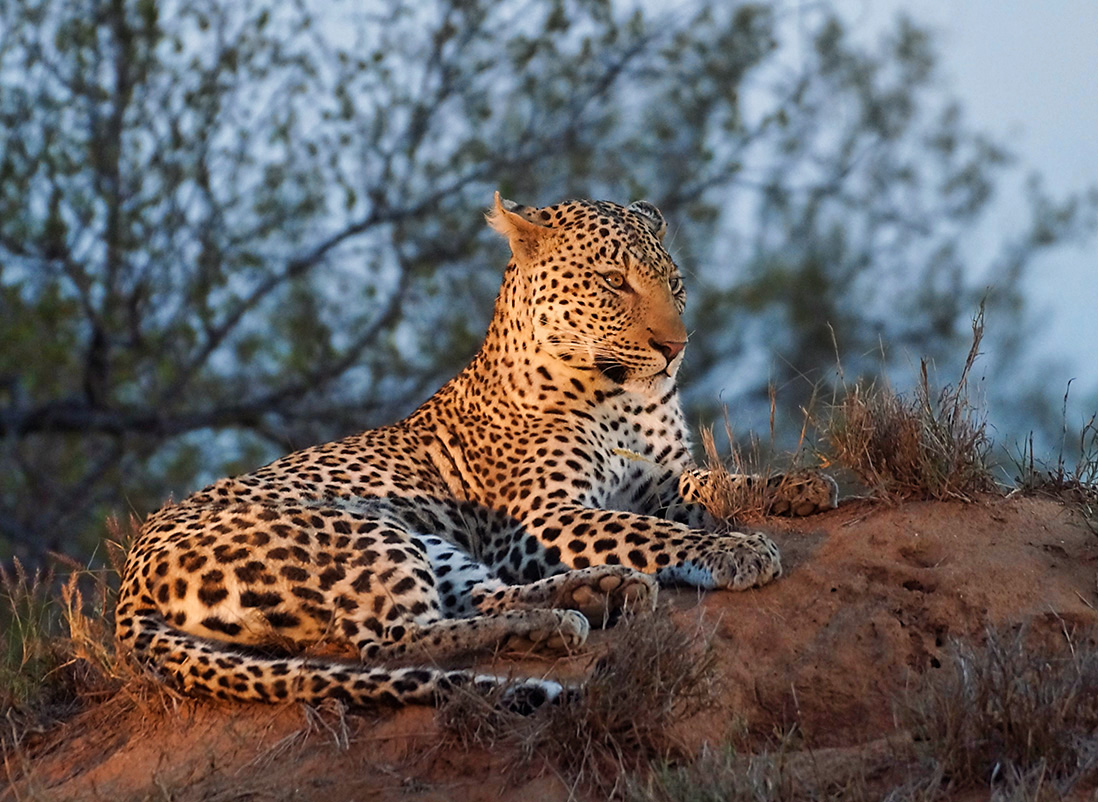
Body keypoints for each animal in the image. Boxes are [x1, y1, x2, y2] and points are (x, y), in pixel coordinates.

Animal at [115, 192, 834, 707]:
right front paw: (734, 550)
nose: (675, 347)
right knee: (390, 641)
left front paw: (797, 486)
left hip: (427, 538)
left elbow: (713, 481)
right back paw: (561, 620)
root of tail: (127, 582)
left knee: (476, 598)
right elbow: (648, 531)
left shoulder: (659, 480)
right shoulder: (541, 518)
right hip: (362, 531)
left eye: (676, 283)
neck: (620, 395)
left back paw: (596, 593)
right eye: (613, 282)